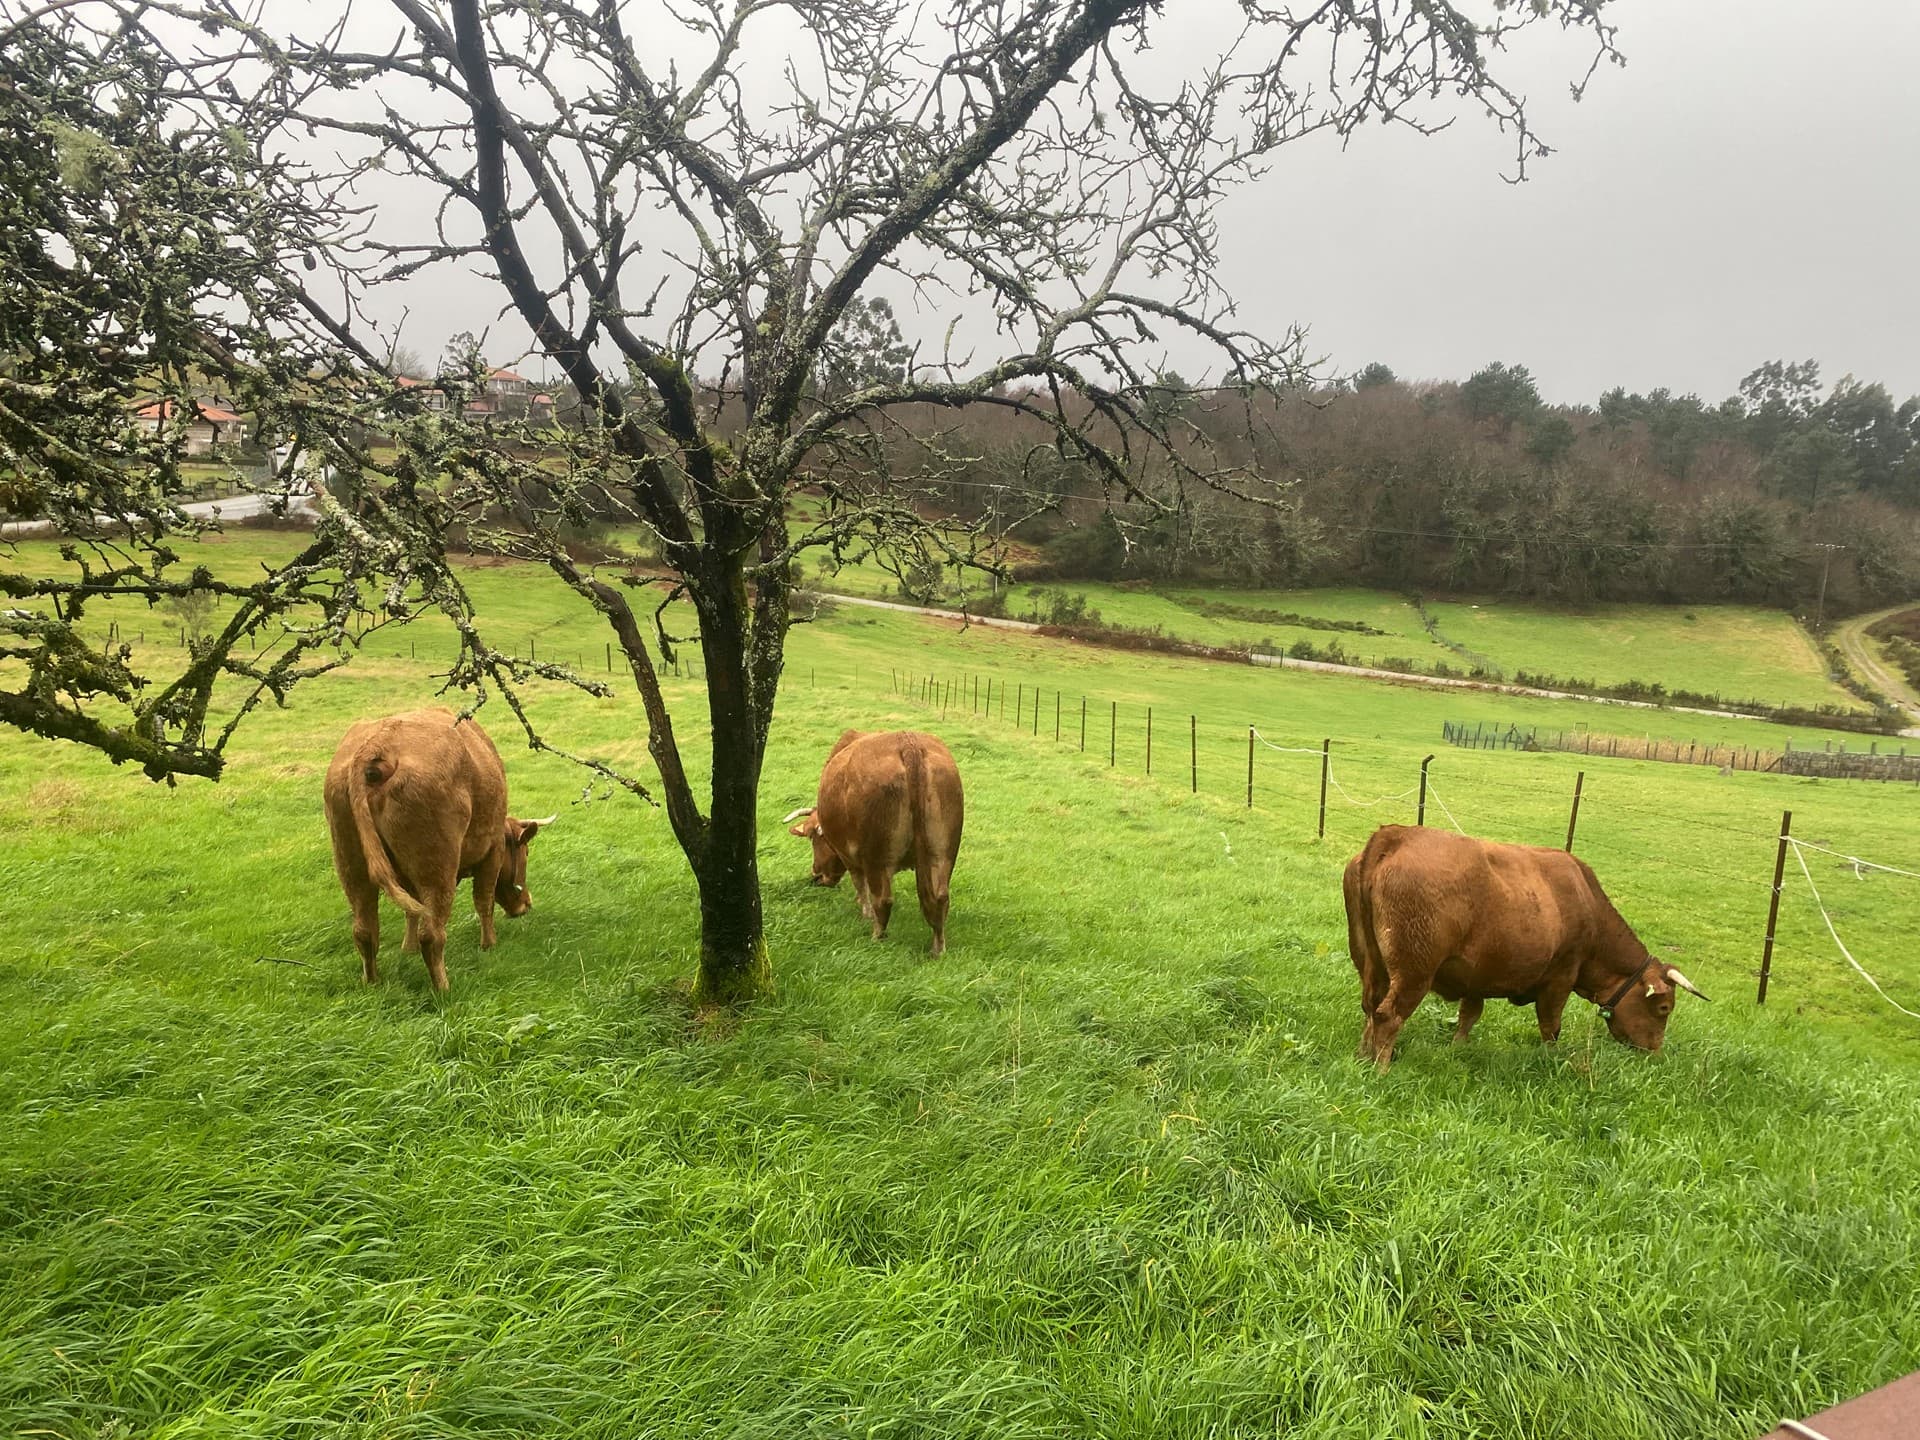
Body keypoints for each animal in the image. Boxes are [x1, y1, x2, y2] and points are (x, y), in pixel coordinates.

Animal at [324, 710, 556, 990]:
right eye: (526, 852)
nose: (526, 904)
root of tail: (377, 745)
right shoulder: (493, 851)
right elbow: (484, 900)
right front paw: (489, 944)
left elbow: (411, 912)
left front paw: (407, 948)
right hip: (437, 867)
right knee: (432, 934)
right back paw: (444, 989)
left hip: (351, 862)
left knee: (365, 930)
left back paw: (372, 982)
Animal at [779, 733, 960, 960]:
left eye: (813, 838)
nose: (816, 874)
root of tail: (908, 743)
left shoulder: (850, 858)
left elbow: (860, 885)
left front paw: (865, 913)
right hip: (942, 855)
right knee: (940, 899)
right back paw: (938, 948)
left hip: (877, 858)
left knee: (883, 900)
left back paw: (876, 937)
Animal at [1344, 829, 1704, 1075]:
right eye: (1663, 1008)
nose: (1654, 1053)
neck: (1586, 901)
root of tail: (1397, 835)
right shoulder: (1560, 979)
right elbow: (1550, 1026)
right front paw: (1551, 1058)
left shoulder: (1476, 976)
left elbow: (1469, 1016)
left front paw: (1458, 1048)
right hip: (1414, 972)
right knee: (1388, 1015)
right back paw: (1381, 1069)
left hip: (1371, 964)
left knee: (1370, 1007)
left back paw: (1362, 1056)